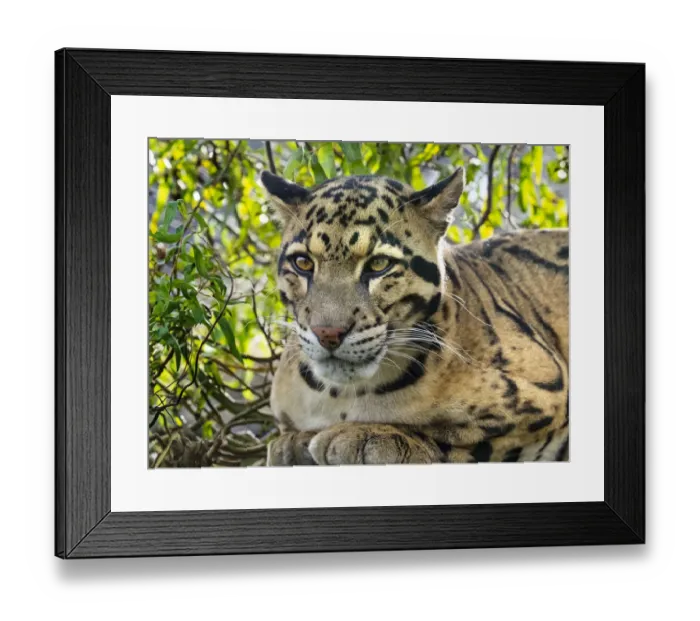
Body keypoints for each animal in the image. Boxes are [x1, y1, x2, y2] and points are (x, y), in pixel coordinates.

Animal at [260, 166, 569, 466]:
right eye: (303, 263)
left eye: (378, 264)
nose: (327, 334)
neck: (341, 395)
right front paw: (294, 441)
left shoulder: (547, 396)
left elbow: (458, 440)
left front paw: (370, 435)